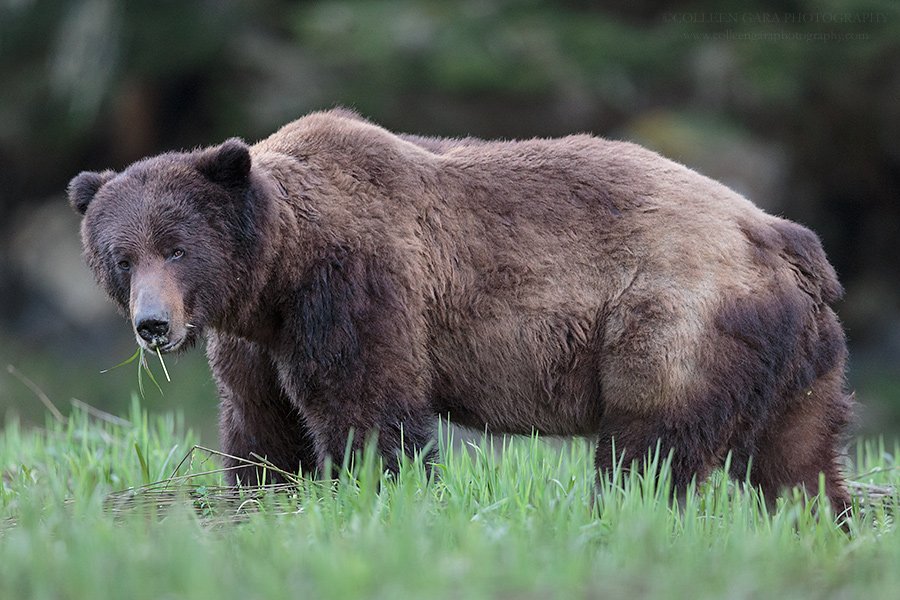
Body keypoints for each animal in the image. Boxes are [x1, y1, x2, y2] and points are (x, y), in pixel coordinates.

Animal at [68, 108, 853, 516]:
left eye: (176, 247)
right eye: (121, 256)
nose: (153, 324)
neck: (277, 273)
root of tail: (779, 235)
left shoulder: (356, 285)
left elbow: (368, 407)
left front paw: (383, 493)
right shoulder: (256, 338)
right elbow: (262, 424)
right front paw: (264, 494)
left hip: (676, 315)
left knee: (650, 441)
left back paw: (619, 510)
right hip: (795, 355)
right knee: (798, 457)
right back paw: (821, 521)